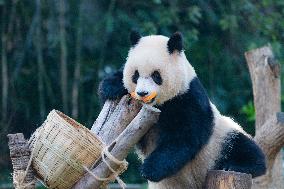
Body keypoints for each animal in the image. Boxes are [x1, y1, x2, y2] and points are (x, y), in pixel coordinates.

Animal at [98, 31, 266, 189]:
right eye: (136, 75)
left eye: (156, 75)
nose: (142, 93)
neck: (161, 104)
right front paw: (110, 87)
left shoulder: (189, 99)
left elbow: (184, 137)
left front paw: (149, 169)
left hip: (221, 140)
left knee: (245, 148)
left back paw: (235, 165)